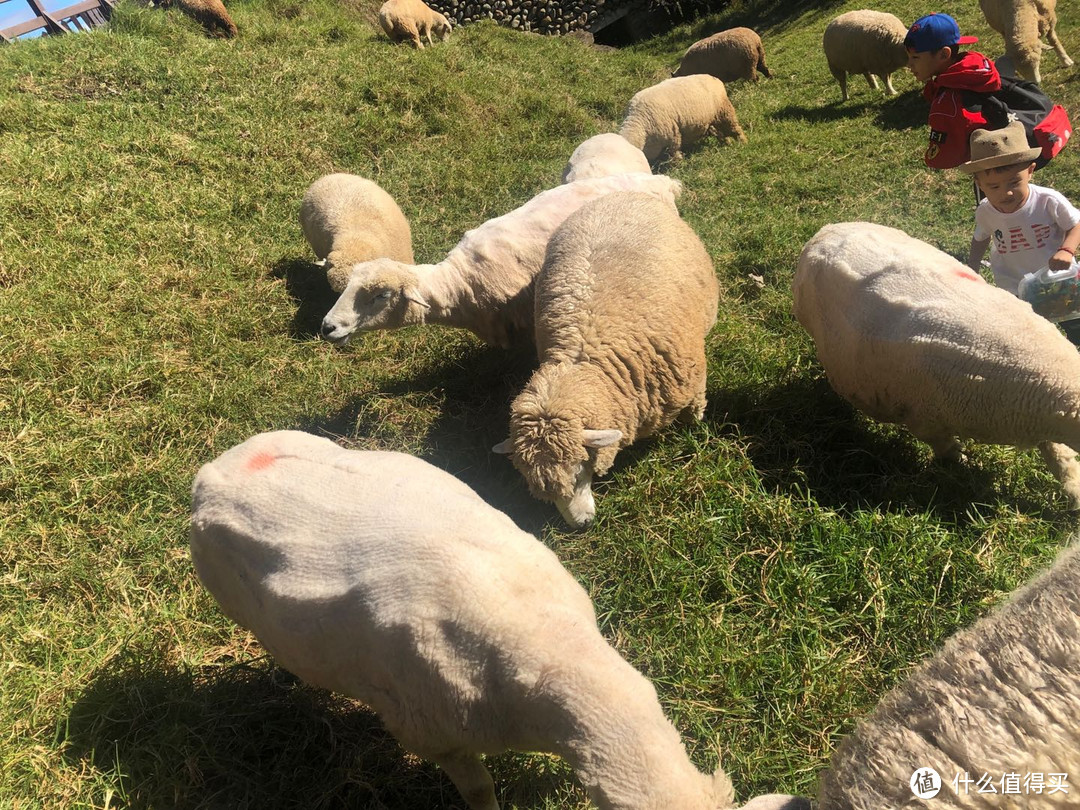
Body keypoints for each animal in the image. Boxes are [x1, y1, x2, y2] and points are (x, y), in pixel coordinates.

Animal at [494, 192, 717, 529]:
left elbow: (696, 406)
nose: (581, 526)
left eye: (579, 471)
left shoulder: (693, 375)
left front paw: (695, 422)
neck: (583, 359)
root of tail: (622, 195)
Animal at [794, 222, 1080, 509]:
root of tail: (826, 230)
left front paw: (1074, 490)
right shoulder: (924, 420)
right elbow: (945, 447)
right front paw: (960, 463)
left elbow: (1060, 454)